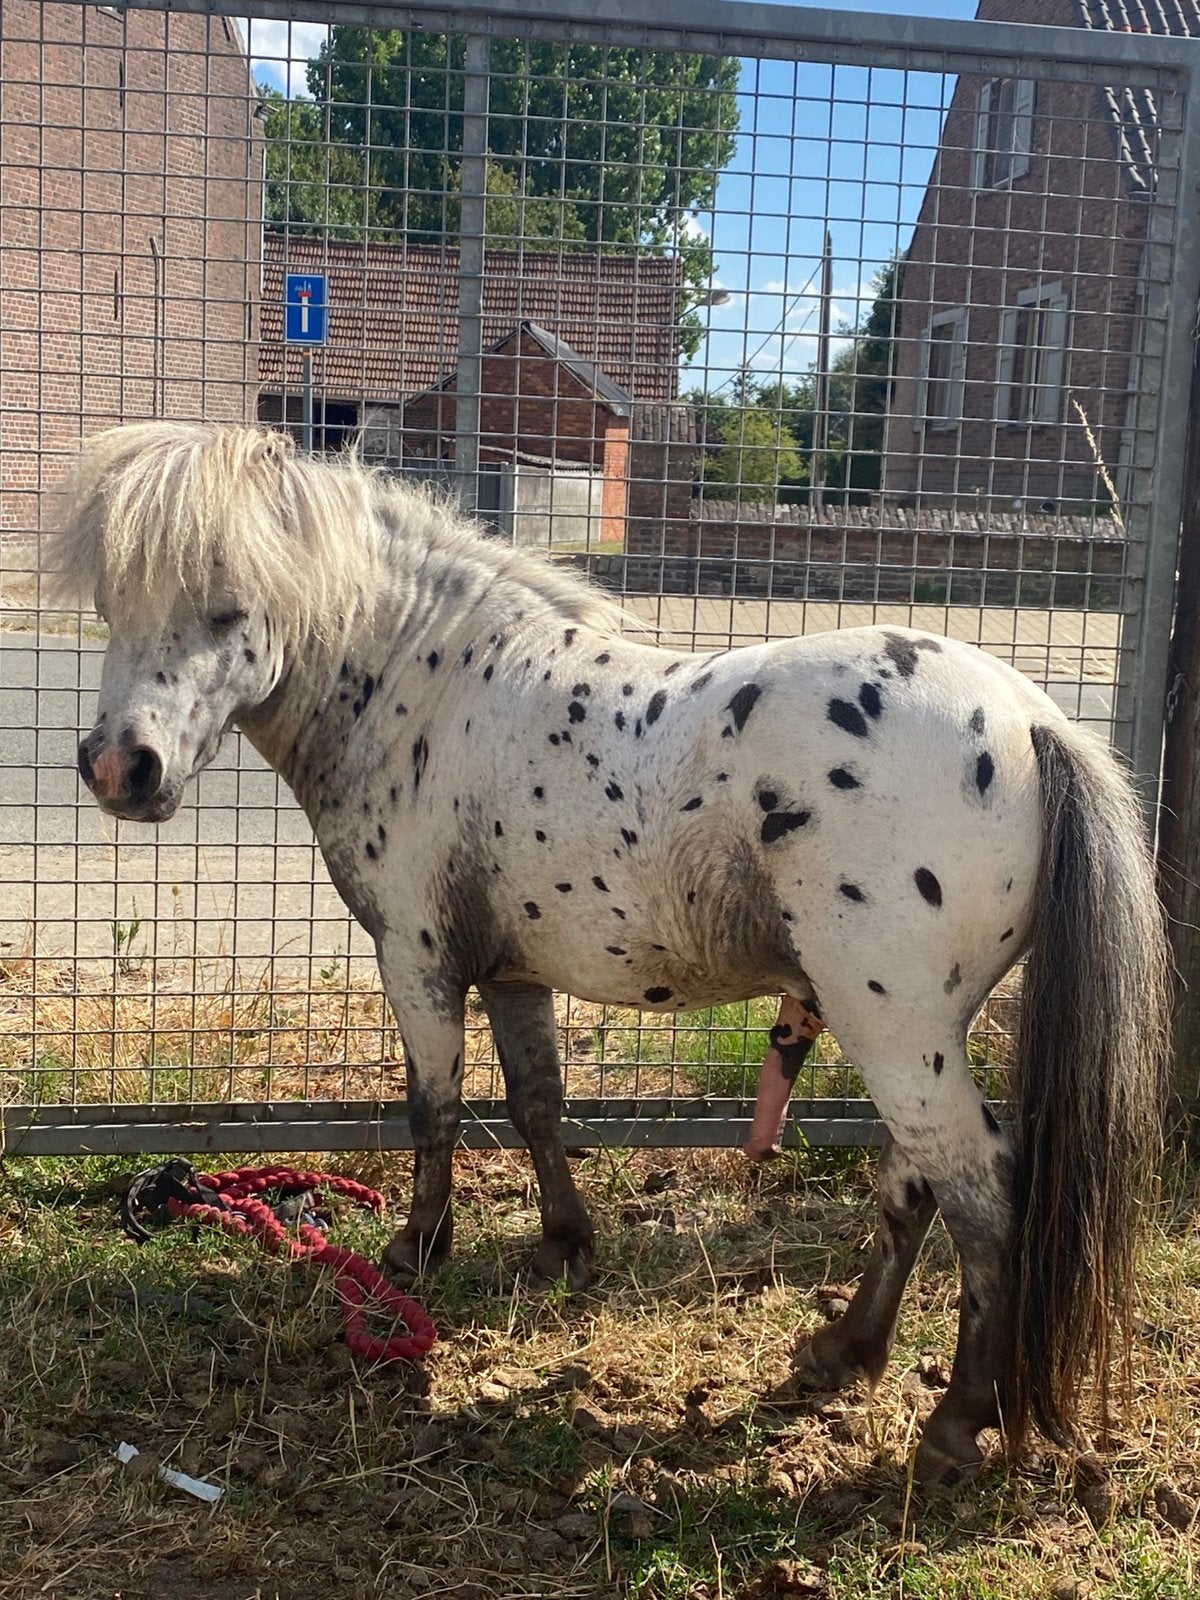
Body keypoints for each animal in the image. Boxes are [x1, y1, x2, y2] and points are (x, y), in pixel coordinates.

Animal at [48, 420, 1169, 1487]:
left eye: (230, 606)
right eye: (111, 600)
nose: (117, 768)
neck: (428, 689)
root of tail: (1036, 725)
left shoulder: (417, 957)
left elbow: (434, 1110)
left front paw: (416, 1250)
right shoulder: (511, 974)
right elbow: (537, 1106)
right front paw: (565, 1246)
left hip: (895, 1027)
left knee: (985, 1198)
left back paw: (952, 1426)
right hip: (914, 1032)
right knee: (915, 1185)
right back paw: (838, 1355)